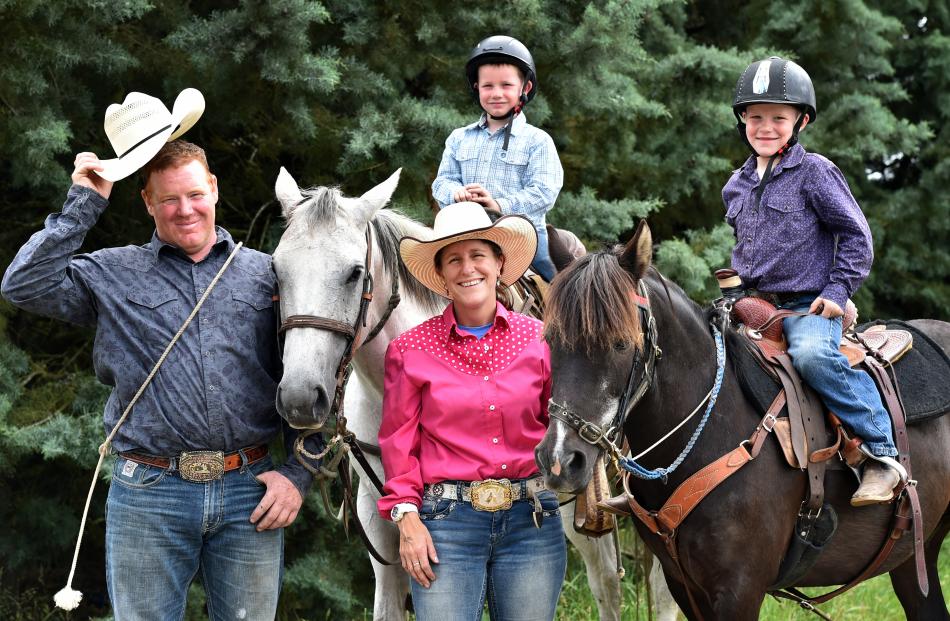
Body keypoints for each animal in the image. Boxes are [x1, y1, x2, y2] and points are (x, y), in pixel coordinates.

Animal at [536, 222, 950, 616]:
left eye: (621, 343)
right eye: (550, 339)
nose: (559, 460)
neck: (709, 431)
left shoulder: (740, 590)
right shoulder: (682, 583)